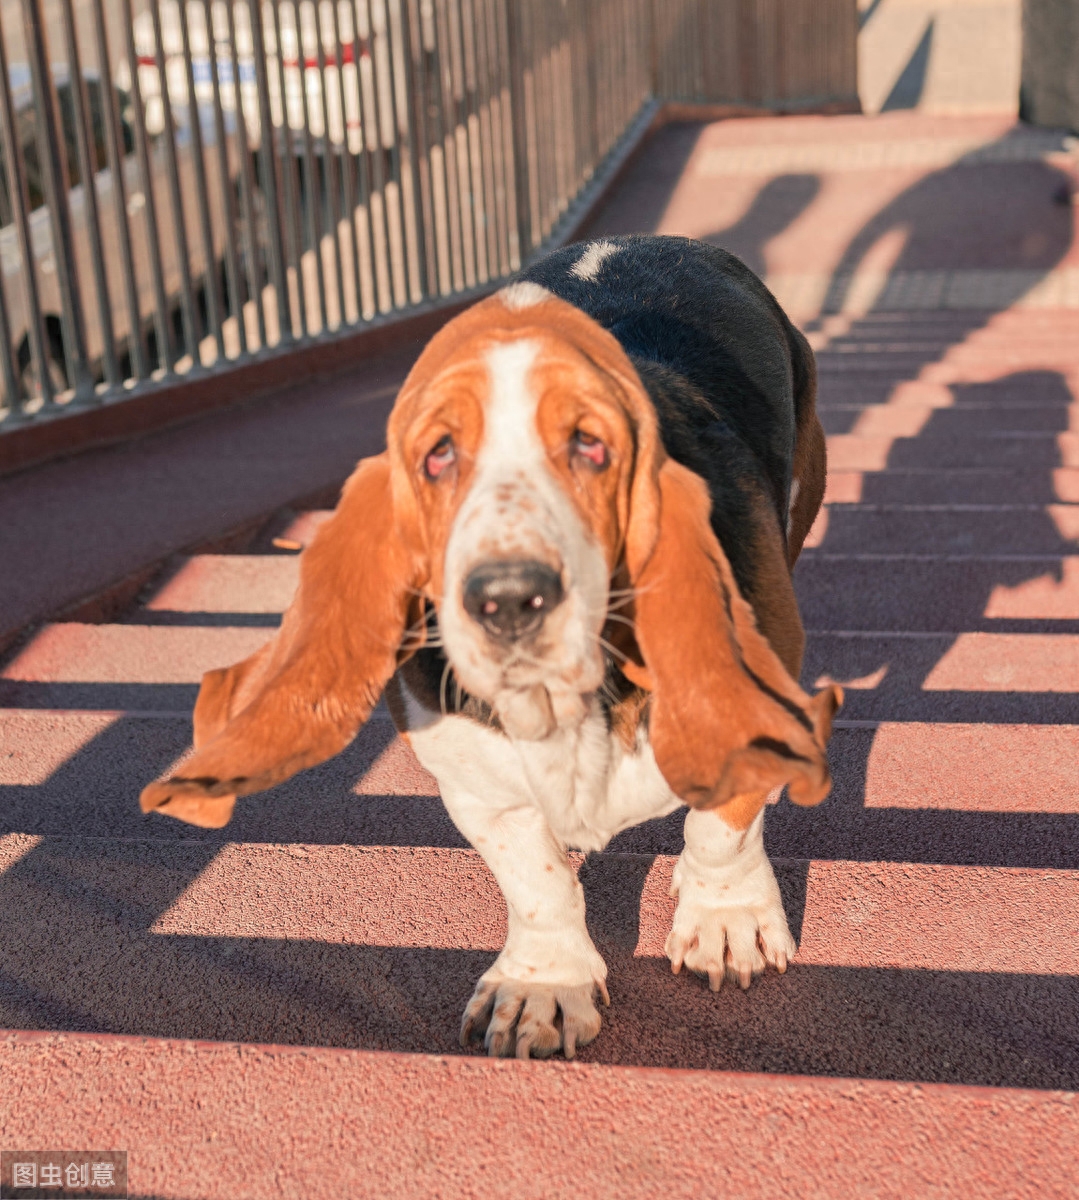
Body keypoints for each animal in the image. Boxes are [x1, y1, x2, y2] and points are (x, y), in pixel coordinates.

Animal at [139, 234, 840, 1060]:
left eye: (590, 446)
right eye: (437, 456)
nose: (507, 599)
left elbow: (721, 828)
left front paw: (725, 922)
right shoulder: (476, 781)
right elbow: (535, 880)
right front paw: (545, 984)